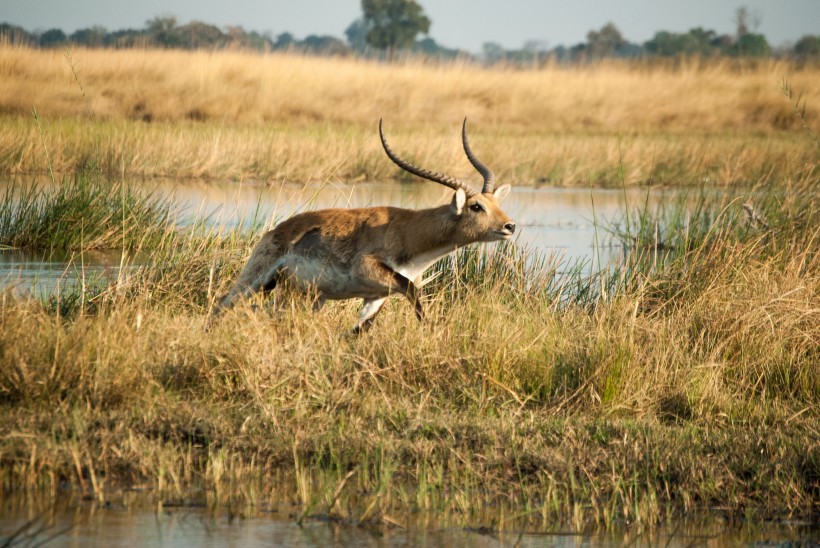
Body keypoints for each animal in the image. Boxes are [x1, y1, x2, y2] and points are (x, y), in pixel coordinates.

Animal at [215, 119, 516, 332]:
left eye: (495, 202)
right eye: (476, 206)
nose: (509, 226)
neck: (409, 233)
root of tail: (275, 231)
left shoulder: (377, 296)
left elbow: (359, 330)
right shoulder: (376, 272)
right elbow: (414, 293)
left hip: (308, 296)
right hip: (254, 280)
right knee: (222, 303)